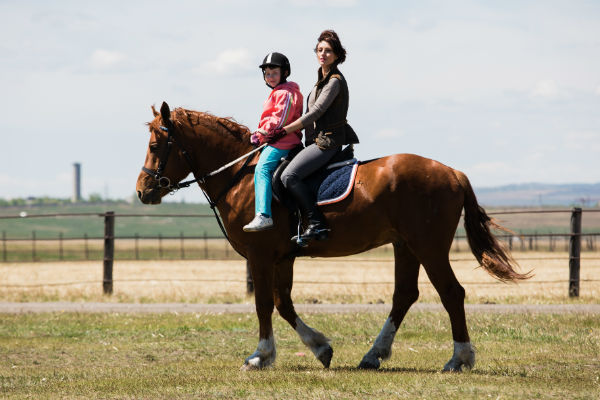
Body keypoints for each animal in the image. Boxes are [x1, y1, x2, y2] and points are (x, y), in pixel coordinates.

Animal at [137, 101, 528, 370]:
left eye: (155, 147)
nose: (142, 191)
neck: (242, 175)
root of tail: (452, 172)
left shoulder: (260, 256)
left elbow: (264, 304)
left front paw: (260, 356)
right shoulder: (283, 258)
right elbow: (283, 303)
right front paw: (320, 348)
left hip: (428, 247)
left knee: (451, 293)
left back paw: (458, 359)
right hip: (405, 245)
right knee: (404, 295)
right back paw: (374, 355)